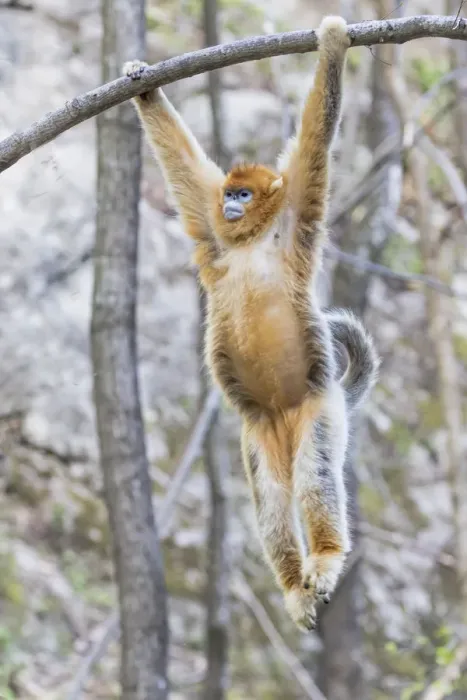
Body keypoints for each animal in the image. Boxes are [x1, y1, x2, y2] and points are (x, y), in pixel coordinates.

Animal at [123, 15, 378, 631]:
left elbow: (317, 136)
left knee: (314, 475)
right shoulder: (213, 230)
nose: (232, 204)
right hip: (259, 432)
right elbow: (184, 168)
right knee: (271, 502)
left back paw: (326, 558)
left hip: (320, 409)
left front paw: (333, 44)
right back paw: (293, 587)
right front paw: (144, 85)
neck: (250, 239)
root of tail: (284, 415)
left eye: (245, 191)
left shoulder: (300, 206)